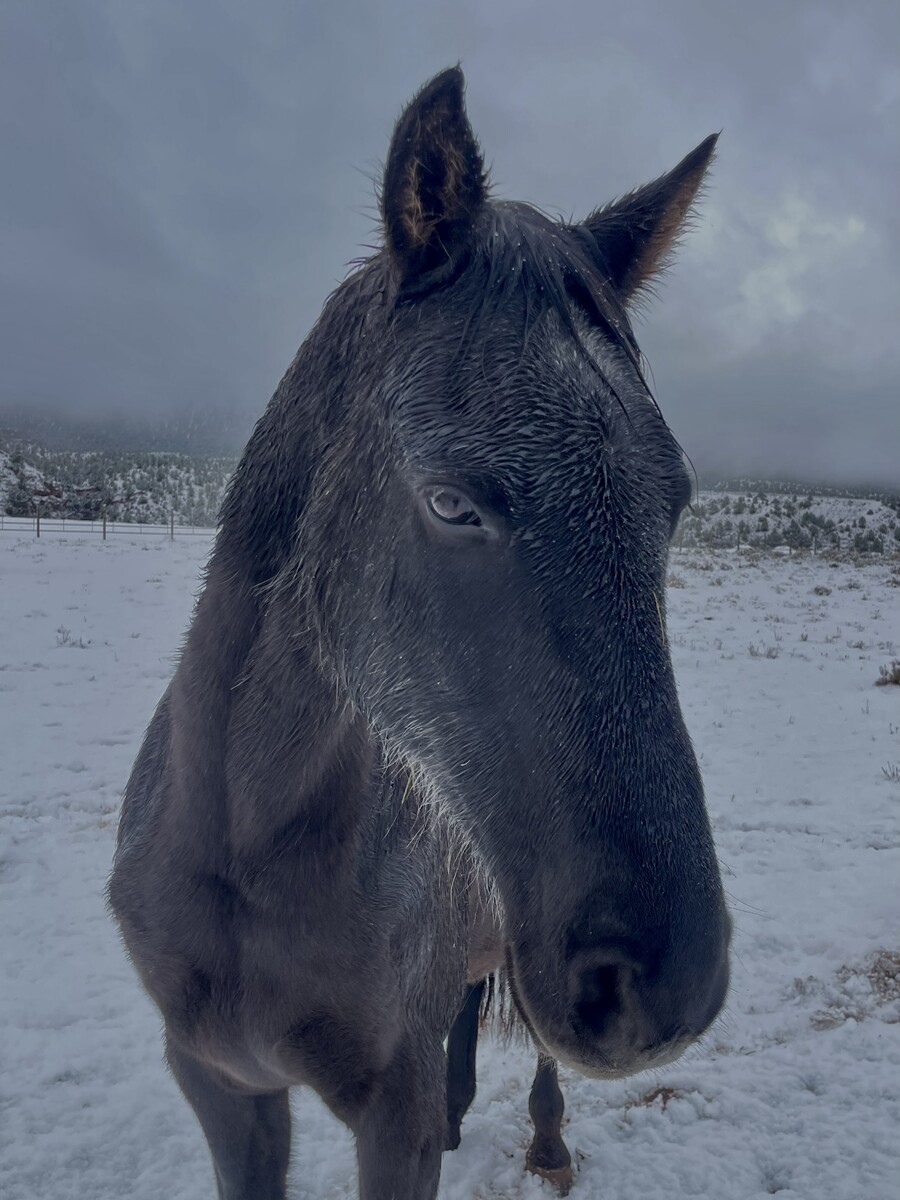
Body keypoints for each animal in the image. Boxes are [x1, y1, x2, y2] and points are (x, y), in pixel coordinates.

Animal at [109, 66, 730, 1200]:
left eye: (672, 506)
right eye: (450, 504)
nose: (668, 984)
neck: (242, 852)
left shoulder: (382, 1115)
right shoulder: (221, 1084)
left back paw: (544, 1144)